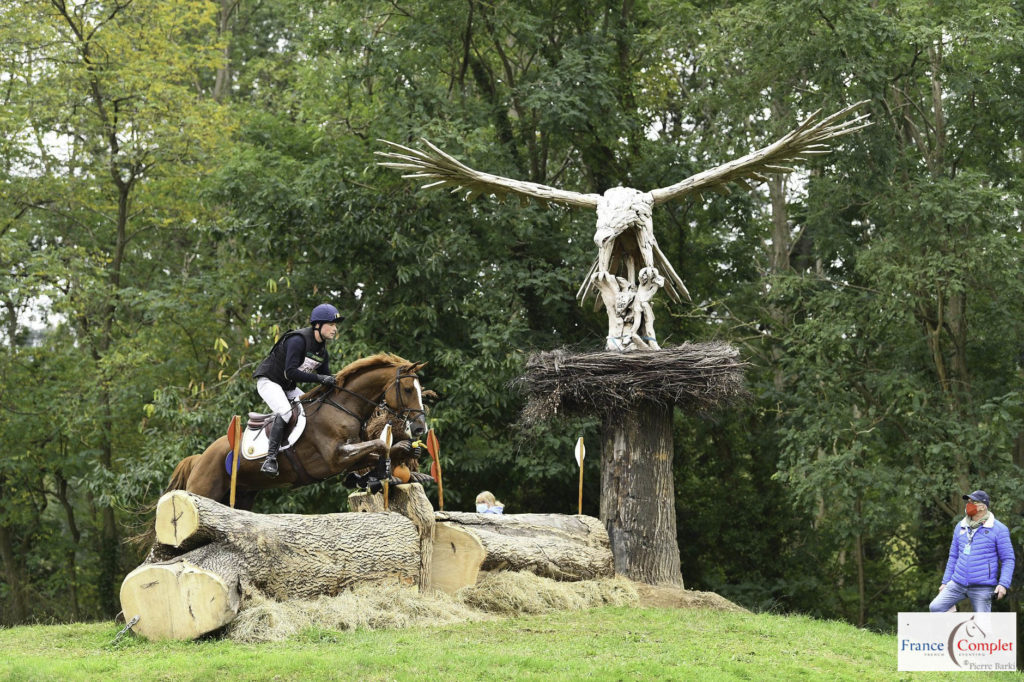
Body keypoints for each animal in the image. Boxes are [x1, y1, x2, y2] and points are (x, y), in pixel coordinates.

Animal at [166, 352, 428, 507]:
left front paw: (374, 476)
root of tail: (200, 458)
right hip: (204, 490)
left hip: (241, 494)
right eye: (407, 389)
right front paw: (378, 477)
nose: (419, 428)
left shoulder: (350, 455)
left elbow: (379, 450)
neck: (343, 408)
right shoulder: (335, 457)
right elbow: (380, 444)